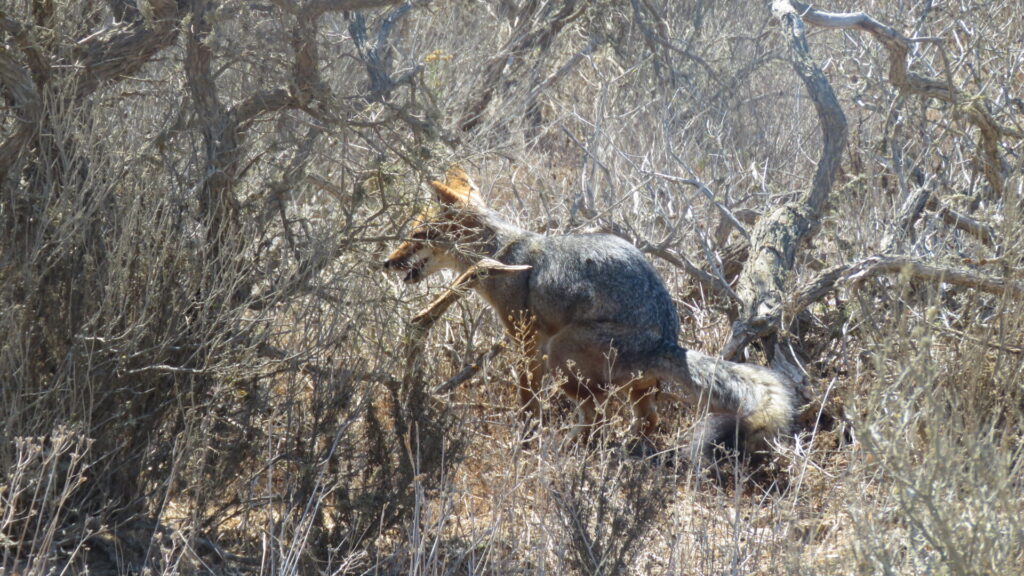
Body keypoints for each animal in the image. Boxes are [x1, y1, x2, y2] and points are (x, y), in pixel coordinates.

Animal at [385, 166, 790, 457]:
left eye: (417, 235)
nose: (386, 262)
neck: (502, 249)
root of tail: (668, 342)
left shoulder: (528, 345)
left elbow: (528, 402)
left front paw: (524, 441)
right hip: (629, 389)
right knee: (643, 421)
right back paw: (623, 453)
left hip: (560, 354)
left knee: (596, 415)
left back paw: (569, 452)